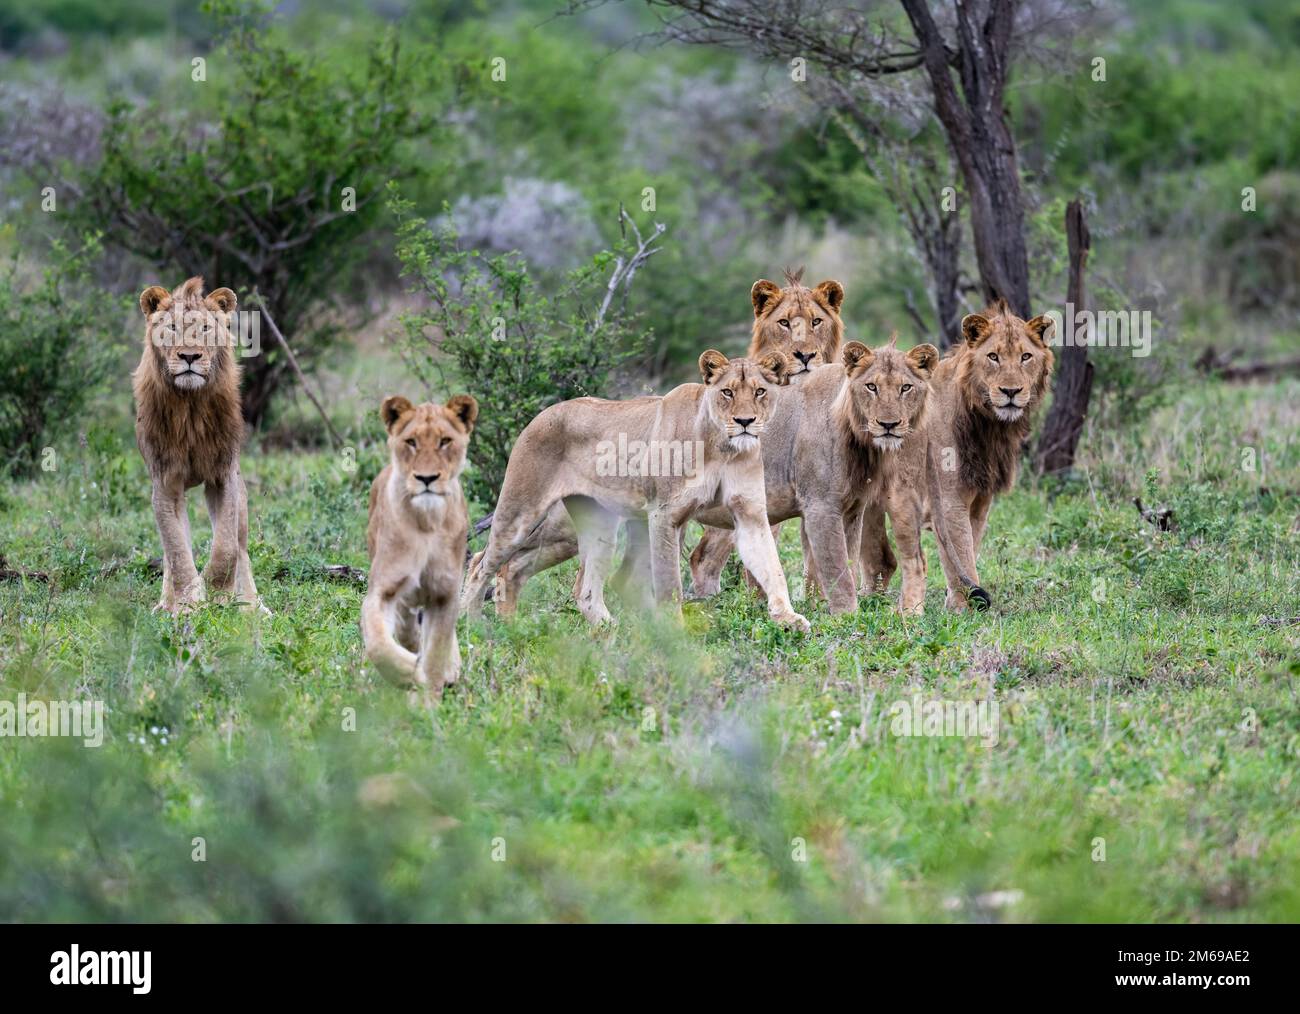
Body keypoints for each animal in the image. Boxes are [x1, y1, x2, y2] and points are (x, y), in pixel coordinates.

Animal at [135, 273, 261, 613]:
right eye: (172, 328)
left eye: (205, 328)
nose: (189, 356)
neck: (189, 407)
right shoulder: (165, 483)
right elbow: (177, 551)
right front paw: (184, 604)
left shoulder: (223, 476)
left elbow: (226, 548)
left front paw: (218, 596)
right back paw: (165, 603)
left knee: (242, 548)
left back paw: (253, 606)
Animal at [364, 392, 480, 702]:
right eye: (411, 442)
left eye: (445, 441)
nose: (426, 479)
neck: (427, 522)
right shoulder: (383, 588)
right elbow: (378, 643)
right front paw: (409, 673)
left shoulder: (445, 593)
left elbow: (437, 650)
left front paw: (428, 698)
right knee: (406, 630)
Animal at [454, 353, 800, 629]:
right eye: (727, 392)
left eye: (760, 391)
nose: (745, 421)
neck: (722, 447)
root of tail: (542, 413)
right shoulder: (665, 514)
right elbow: (669, 583)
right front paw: (675, 632)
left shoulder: (750, 513)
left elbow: (772, 567)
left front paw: (789, 619)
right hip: (521, 513)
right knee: (480, 564)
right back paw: (474, 625)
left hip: (598, 525)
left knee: (584, 590)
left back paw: (607, 631)